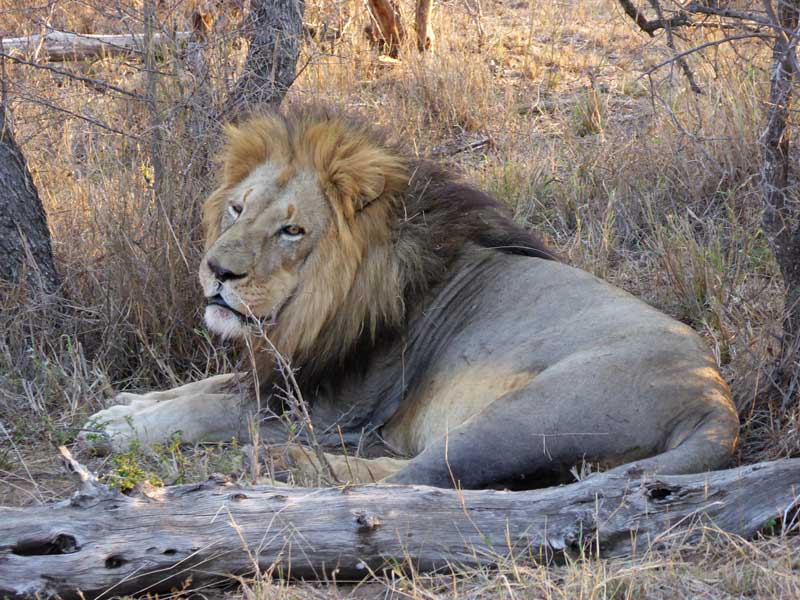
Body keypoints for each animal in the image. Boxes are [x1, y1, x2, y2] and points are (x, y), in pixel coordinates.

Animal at [81, 108, 739, 489]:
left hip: (530, 410)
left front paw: (120, 432)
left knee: (420, 478)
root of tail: (717, 401)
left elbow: (206, 409)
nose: (217, 271)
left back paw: (288, 465)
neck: (321, 304)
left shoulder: (327, 407)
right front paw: (125, 407)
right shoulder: (290, 369)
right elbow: (205, 386)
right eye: (238, 208)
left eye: (292, 230)